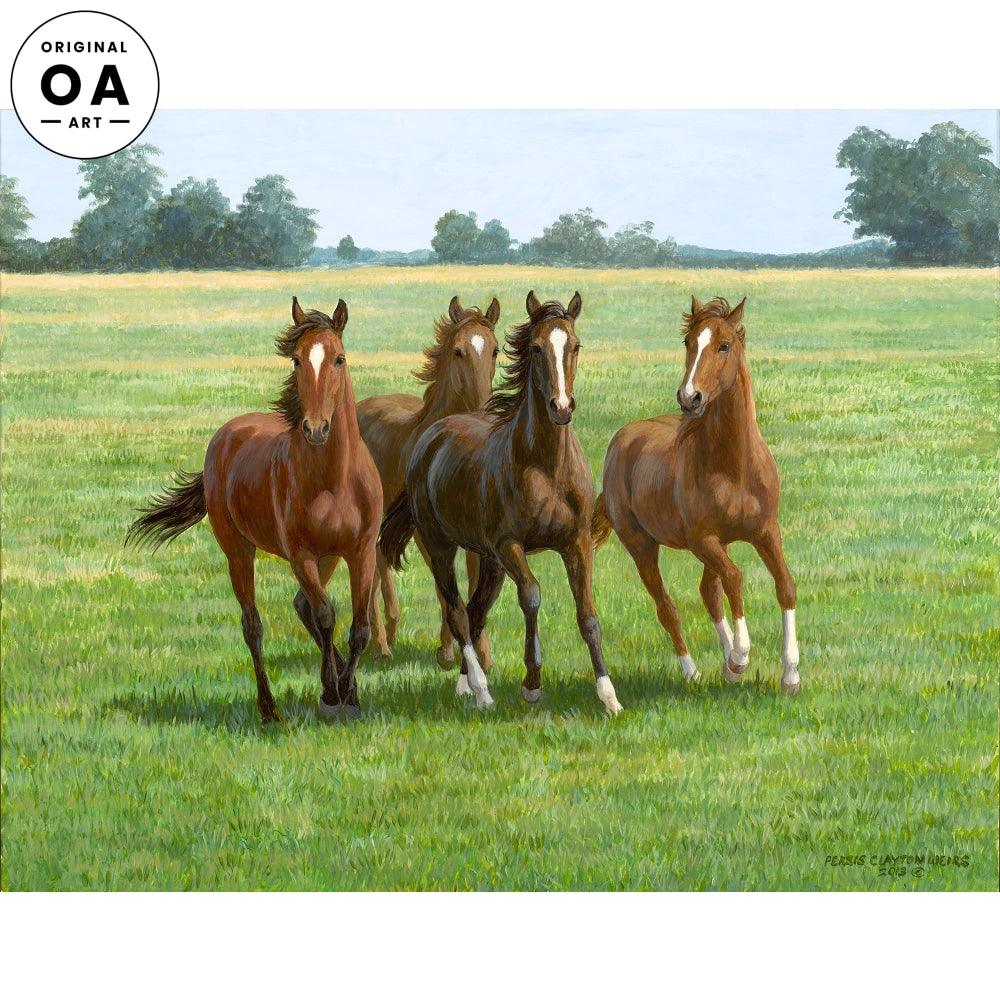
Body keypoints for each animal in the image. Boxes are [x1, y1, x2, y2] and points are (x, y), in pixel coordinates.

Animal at [126, 297, 383, 723]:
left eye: (339, 359)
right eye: (296, 360)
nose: (315, 429)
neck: (334, 480)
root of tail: (225, 434)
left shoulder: (360, 551)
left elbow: (358, 627)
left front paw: (349, 696)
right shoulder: (301, 555)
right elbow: (326, 616)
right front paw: (334, 697)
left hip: (328, 556)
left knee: (300, 606)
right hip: (239, 551)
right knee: (254, 625)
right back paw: (269, 709)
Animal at [357, 295, 500, 667]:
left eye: (495, 350)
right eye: (458, 351)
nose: (483, 410)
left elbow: (474, 579)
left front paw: (482, 653)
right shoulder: (427, 531)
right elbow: (443, 585)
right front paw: (448, 650)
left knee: (380, 561)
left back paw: (389, 631)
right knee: (372, 565)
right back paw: (380, 642)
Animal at [380, 291, 623, 715]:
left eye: (575, 346)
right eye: (537, 348)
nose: (561, 407)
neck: (546, 466)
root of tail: (430, 437)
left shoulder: (576, 543)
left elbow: (588, 616)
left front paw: (608, 696)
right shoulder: (510, 546)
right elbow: (532, 596)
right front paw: (532, 684)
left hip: (488, 559)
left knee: (476, 609)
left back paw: (465, 685)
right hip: (443, 548)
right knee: (458, 611)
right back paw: (481, 691)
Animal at [592, 295, 800, 694]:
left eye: (724, 346)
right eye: (688, 342)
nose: (690, 397)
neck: (734, 467)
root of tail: (622, 440)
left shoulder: (766, 532)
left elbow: (785, 585)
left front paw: (790, 673)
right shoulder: (704, 540)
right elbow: (736, 579)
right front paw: (741, 656)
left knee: (708, 592)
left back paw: (726, 666)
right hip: (642, 546)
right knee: (668, 607)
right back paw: (695, 672)